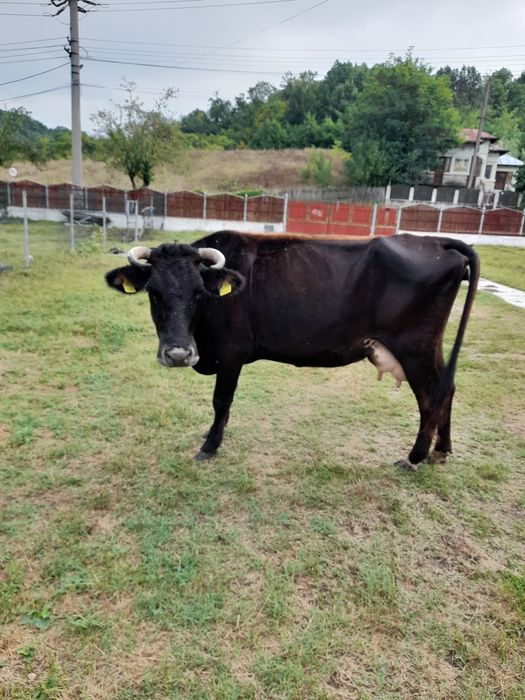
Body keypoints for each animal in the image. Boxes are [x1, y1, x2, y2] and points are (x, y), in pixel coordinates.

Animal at [105, 231, 479, 470]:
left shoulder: (231, 354)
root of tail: (436, 241)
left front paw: (210, 446)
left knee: (430, 396)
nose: (178, 354)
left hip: (414, 347)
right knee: (447, 388)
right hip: (429, 346)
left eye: (199, 293)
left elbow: (221, 401)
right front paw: (212, 434)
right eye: (154, 293)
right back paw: (441, 451)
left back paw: (414, 457)